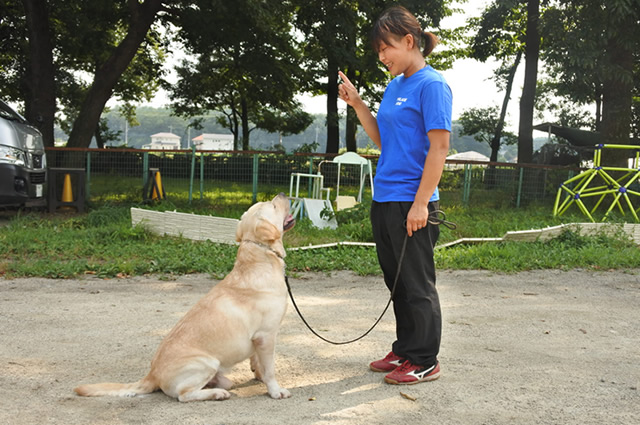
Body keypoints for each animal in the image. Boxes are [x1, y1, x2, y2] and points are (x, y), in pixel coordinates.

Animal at [74, 193, 296, 400]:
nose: (284, 194)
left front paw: (258, 376)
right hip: (207, 362)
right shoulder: (265, 336)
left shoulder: (258, 340)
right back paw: (216, 394)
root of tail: (152, 375)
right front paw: (275, 390)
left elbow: (257, 362)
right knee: (184, 395)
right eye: (273, 206)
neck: (261, 256)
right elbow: (270, 369)